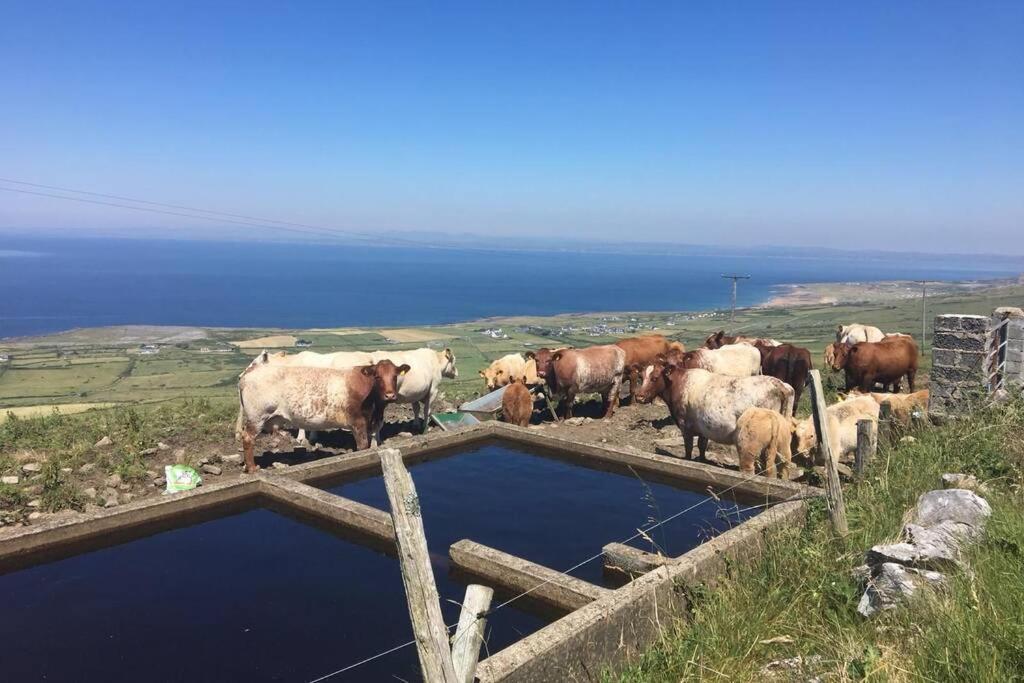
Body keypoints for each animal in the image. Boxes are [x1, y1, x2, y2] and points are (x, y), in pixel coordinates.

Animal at [236, 360, 407, 473]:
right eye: (377, 376)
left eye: (395, 376)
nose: (390, 395)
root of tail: (250, 372)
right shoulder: (358, 423)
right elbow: (363, 446)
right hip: (256, 417)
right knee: (248, 438)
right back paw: (253, 468)